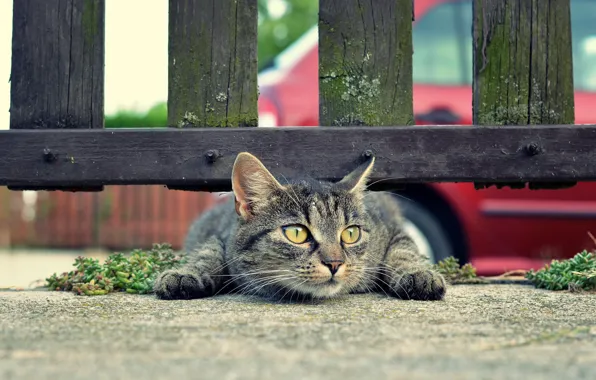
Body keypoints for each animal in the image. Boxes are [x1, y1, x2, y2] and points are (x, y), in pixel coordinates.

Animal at [154, 151, 448, 302]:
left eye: (350, 233)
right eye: (297, 233)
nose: (335, 263)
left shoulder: (394, 229)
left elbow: (404, 252)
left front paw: (419, 275)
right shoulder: (219, 235)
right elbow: (207, 254)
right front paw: (185, 274)